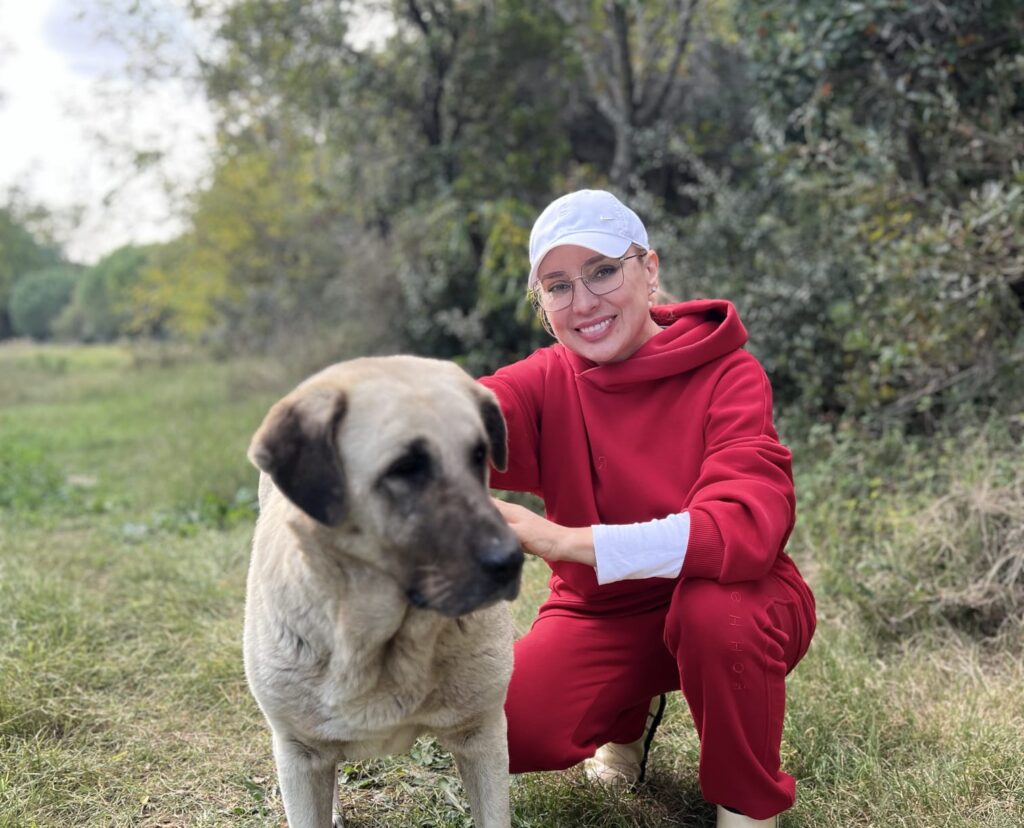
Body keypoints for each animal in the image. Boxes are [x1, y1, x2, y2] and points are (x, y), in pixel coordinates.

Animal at [243, 356, 524, 826]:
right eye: (404, 468)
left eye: (479, 455)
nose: (511, 561)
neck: (385, 647)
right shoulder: (299, 753)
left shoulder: (482, 736)